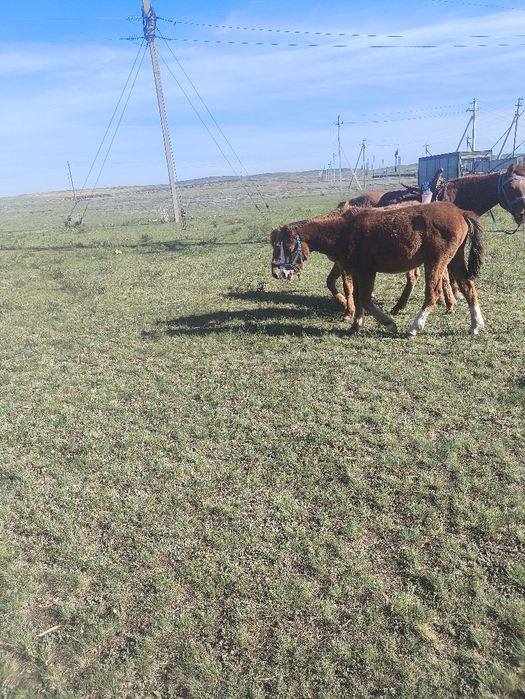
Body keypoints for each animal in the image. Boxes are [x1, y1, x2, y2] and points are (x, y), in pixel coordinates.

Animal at [271, 201, 485, 336]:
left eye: (288, 247)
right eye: (274, 245)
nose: (279, 272)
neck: (344, 230)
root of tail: (460, 212)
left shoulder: (366, 271)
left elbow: (365, 299)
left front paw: (389, 323)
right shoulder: (356, 271)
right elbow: (357, 297)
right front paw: (356, 324)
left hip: (437, 261)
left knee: (433, 294)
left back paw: (415, 327)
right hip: (453, 259)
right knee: (468, 287)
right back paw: (476, 325)